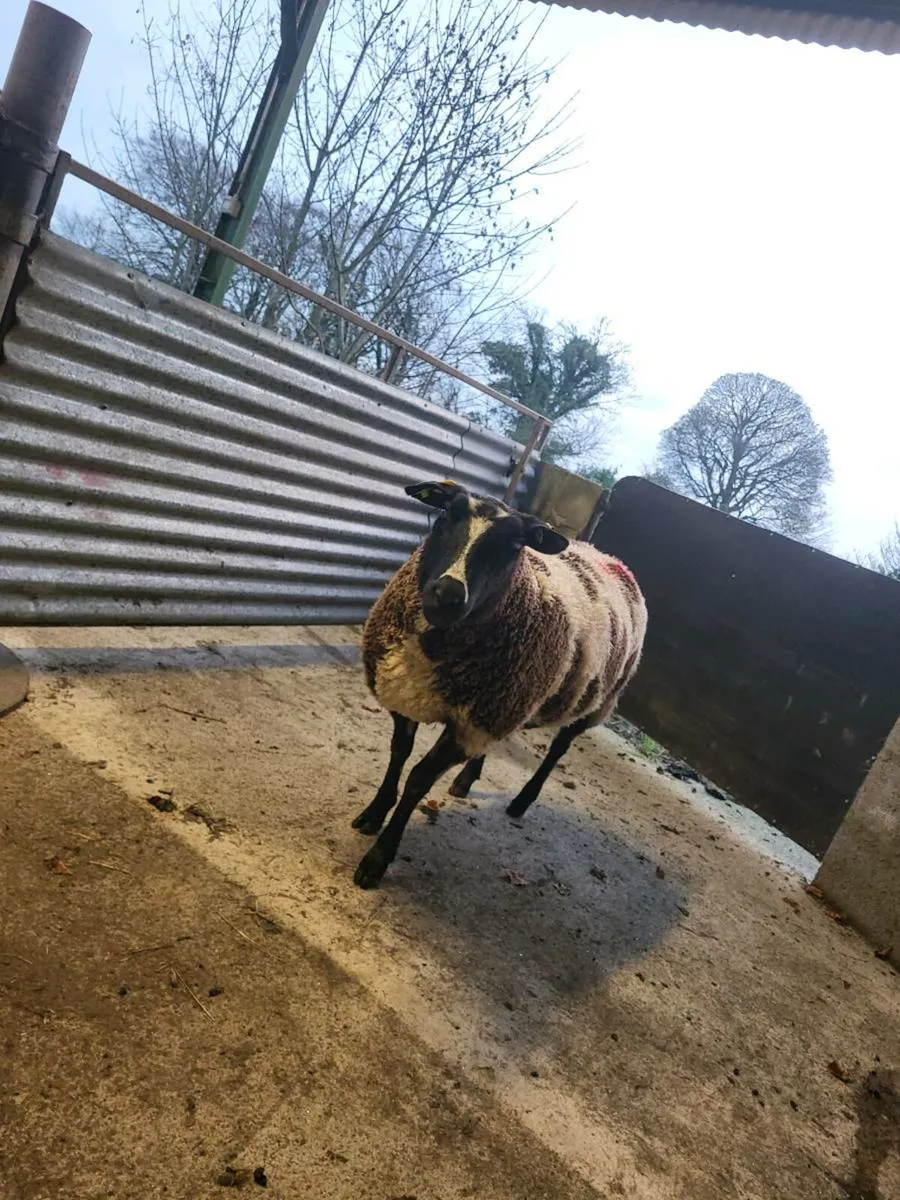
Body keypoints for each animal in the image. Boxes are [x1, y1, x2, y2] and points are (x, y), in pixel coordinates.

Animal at [351, 479, 647, 888]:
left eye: (514, 545)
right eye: (445, 516)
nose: (447, 595)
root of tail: (614, 559)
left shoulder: (465, 727)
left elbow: (418, 780)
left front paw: (378, 859)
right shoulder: (411, 695)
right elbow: (398, 754)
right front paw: (373, 814)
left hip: (591, 703)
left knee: (558, 751)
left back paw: (522, 801)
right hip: (504, 705)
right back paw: (465, 781)